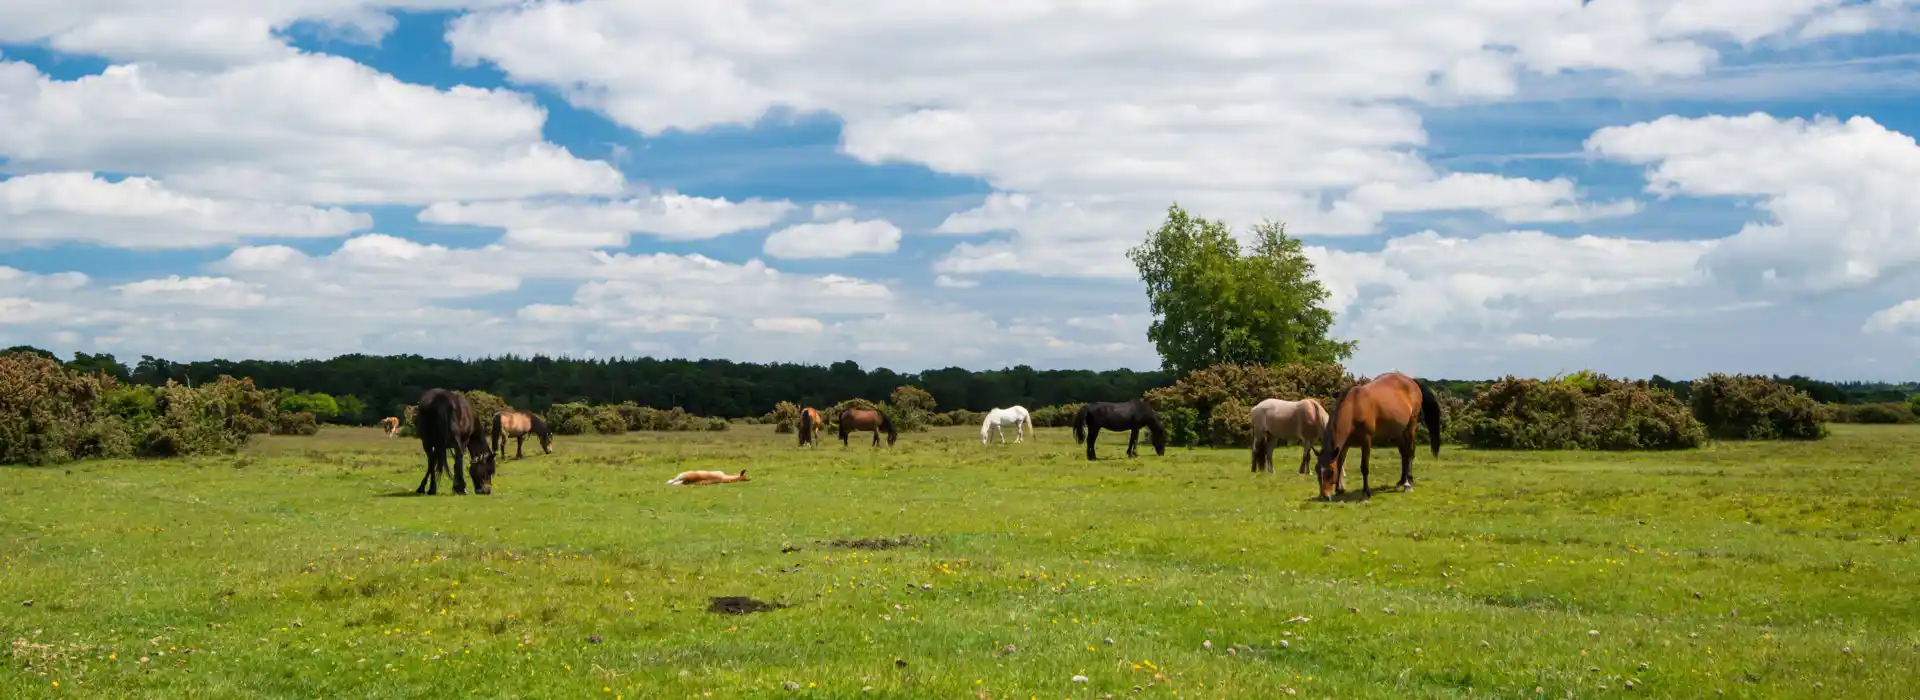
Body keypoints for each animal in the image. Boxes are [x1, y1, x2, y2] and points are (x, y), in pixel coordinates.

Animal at [1313, 373, 1443, 498]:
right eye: (1317, 470)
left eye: (1330, 472)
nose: (1324, 496)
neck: (1354, 407)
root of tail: (1411, 380)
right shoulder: (1344, 445)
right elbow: (1340, 463)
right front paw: (1339, 489)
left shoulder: (1366, 440)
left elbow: (1364, 467)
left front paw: (1366, 492)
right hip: (1398, 433)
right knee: (1404, 454)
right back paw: (1401, 481)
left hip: (1411, 425)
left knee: (1410, 452)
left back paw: (1408, 483)